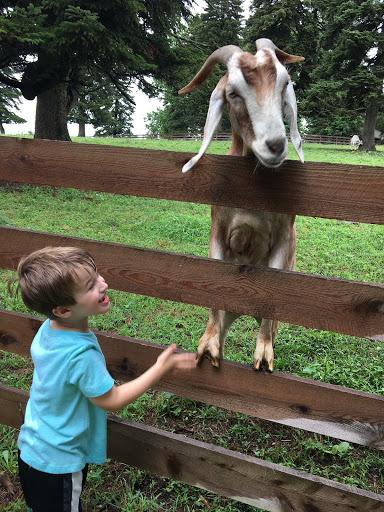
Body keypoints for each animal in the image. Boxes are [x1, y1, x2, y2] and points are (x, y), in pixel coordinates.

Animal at [178, 37, 304, 372]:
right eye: (233, 93)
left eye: (284, 84)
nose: (275, 145)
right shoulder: (219, 231)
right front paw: (207, 347)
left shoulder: (283, 239)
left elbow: (271, 298)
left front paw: (263, 355)